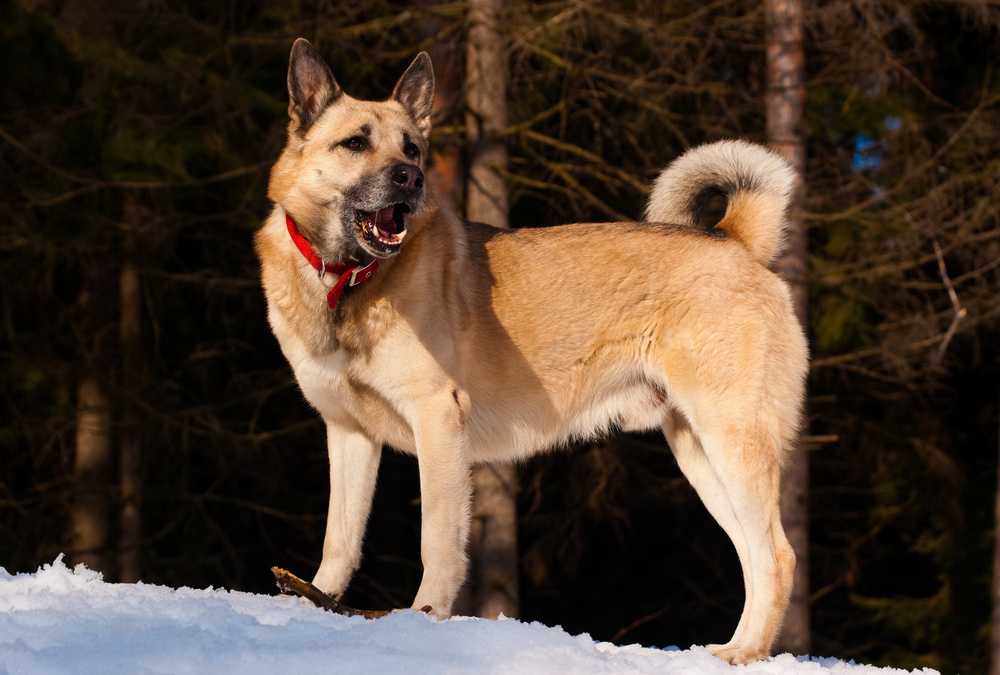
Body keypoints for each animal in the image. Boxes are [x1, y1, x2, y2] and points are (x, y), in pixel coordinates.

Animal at [254, 38, 808, 664]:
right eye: (355, 142)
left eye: (412, 148)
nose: (410, 178)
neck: (347, 280)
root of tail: (737, 241)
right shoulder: (348, 433)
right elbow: (340, 539)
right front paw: (313, 602)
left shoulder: (437, 420)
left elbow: (437, 542)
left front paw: (423, 620)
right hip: (698, 451)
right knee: (755, 557)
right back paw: (735, 648)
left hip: (731, 438)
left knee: (777, 555)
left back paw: (745, 651)